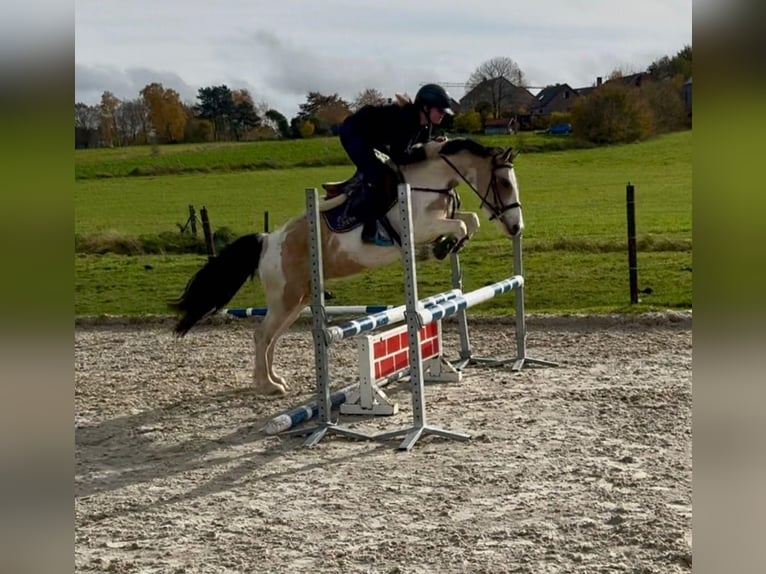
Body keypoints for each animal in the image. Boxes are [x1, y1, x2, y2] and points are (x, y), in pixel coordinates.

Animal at [169, 137, 524, 396]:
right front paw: (440, 247)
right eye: (504, 184)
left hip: (296, 302)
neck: (428, 183)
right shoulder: (418, 227)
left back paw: (276, 379)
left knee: (272, 338)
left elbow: (469, 220)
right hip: (285, 299)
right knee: (261, 335)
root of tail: (268, 240)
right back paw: (266, 386)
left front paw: (447, 247)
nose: (516, 227)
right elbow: (463, 223)